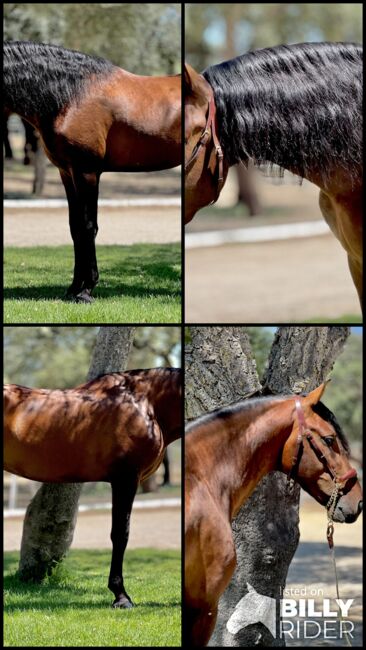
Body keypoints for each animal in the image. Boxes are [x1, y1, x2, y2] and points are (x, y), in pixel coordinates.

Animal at [2, 41, 180, 300]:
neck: (72, 94)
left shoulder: (87, 172)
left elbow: (88, 226)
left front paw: (86, 289)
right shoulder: (67, 172)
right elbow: (75, 227)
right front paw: (73, 288)